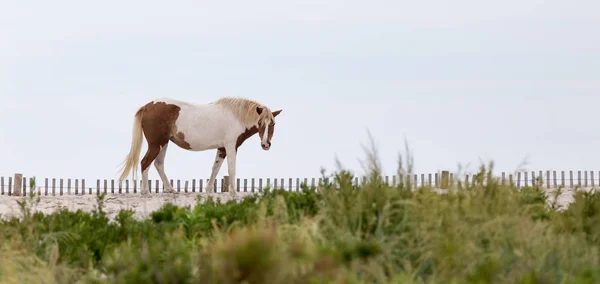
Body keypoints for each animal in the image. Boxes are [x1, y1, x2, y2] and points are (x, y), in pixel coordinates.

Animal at [119, 96, 284, 196]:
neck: (237, 117)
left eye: (273, 124)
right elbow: (231, 169)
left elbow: (215, 168)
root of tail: (147, 106)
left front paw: (208, 190)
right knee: (145, 163)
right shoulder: (231, 147)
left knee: (158, 164)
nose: (265, 144)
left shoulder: (222, 149)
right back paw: (145, 192)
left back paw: (171, 189)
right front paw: (234, 193)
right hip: (156, 144)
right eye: (260, 123)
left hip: (163, 143)